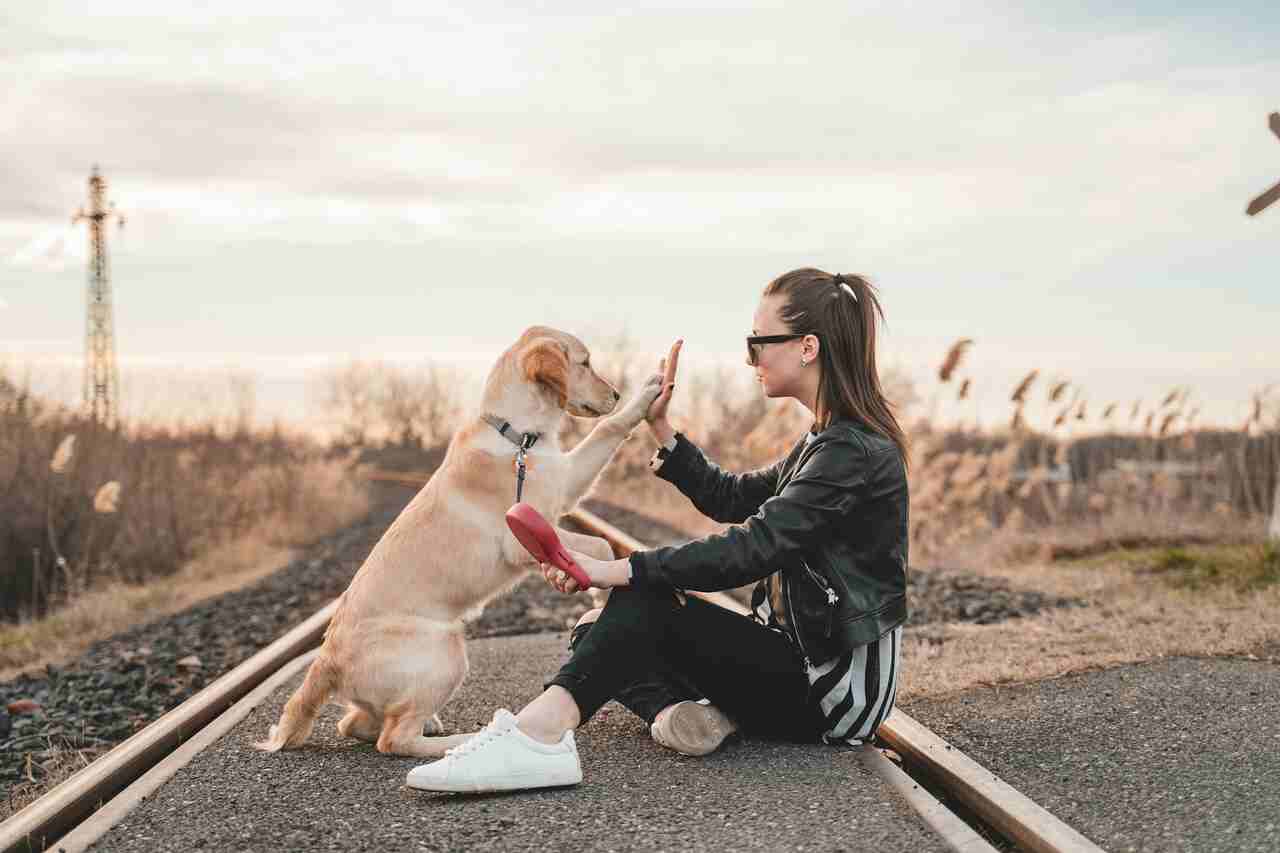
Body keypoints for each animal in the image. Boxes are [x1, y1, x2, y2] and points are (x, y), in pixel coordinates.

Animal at [254, 325, 665, 758]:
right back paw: (463, 740)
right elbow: (600, 545)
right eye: (585, 363)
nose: (616, 393)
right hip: (447, 648)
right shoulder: (522, 535)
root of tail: (325, 660)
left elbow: (607, 433)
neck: (518, 436)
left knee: (354, 724)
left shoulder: (565, 484)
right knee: (392, 739)